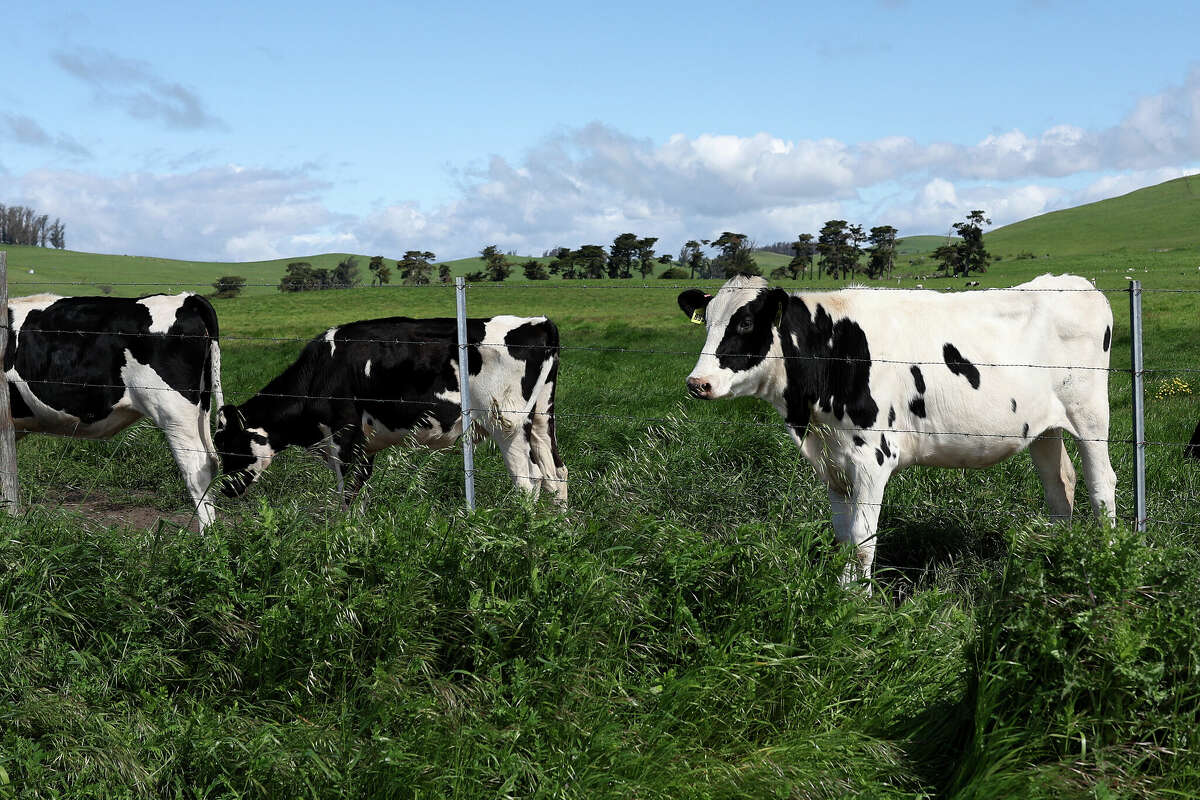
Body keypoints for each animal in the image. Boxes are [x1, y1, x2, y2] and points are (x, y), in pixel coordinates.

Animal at [8, 291, 223, 527]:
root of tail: (187, 298)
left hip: (174, 412)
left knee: (197, 468)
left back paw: (204, 535)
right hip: (201, 408)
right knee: (210, 463)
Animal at [216, 314, 566, 506]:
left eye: (229, 447)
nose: (224, 490)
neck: (320, 371)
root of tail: (538, 323)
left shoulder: (344, 439)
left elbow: (347, 494)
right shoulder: (365, 445)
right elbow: (361, 492)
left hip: (506, 422)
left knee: (529, 481)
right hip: (540, 419)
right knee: (556, 474)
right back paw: (557, 533)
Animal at [681, 277, 1118, 587]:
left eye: (746, 322)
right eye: (707, 323)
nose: (697, 382)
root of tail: (1076, 283)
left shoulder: (871, 458)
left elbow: (862, 540)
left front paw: (857, 605)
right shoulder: (833, 464)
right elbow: (844, 537)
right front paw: (842, 593)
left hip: (1091, 416)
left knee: (1101, 484)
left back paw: (1109, 554)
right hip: (1043, 428)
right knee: (1060, 484)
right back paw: (1053, 555)